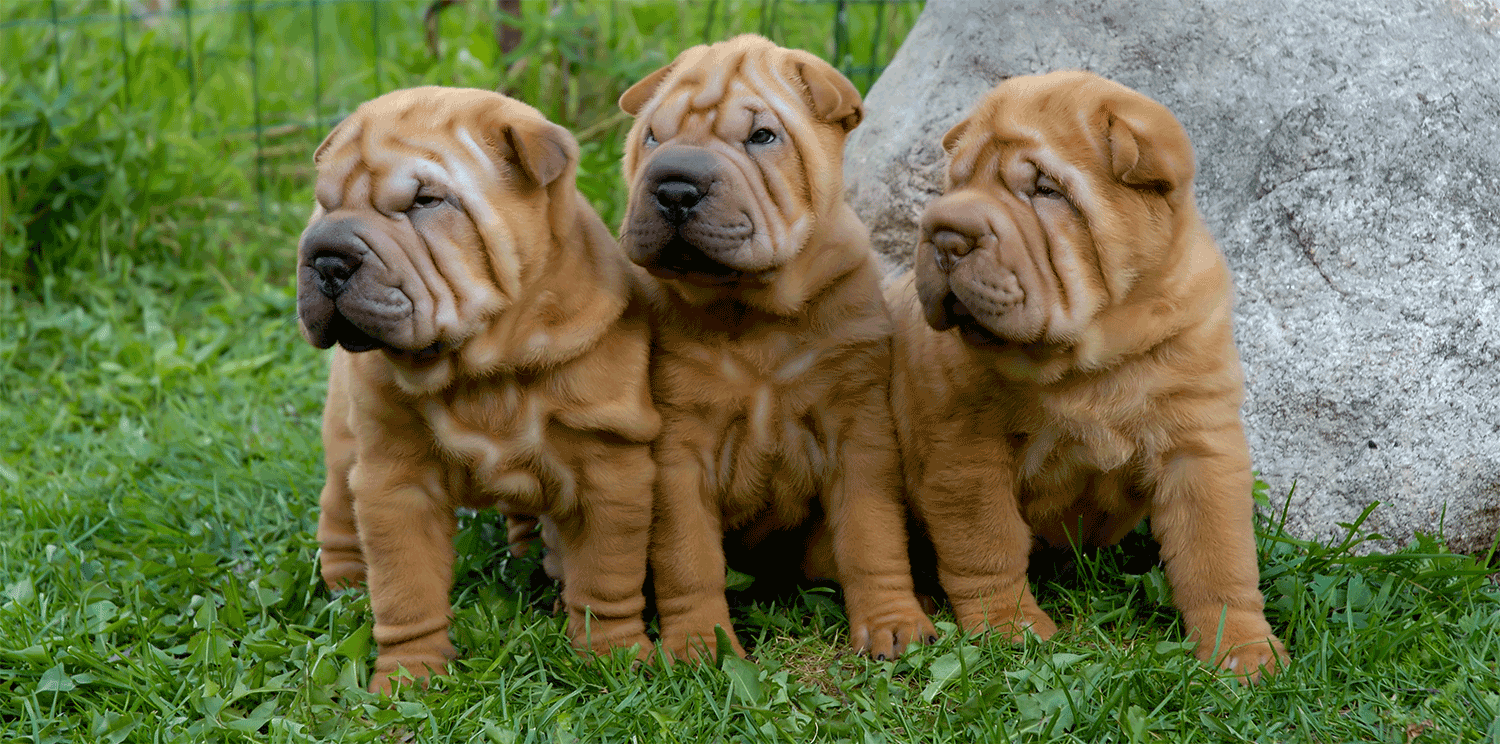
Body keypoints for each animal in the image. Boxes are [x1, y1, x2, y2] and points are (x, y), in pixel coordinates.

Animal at [295, 85, 660, 693]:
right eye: (324, 204)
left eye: (426, 201)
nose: (325, 257)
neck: (482, 366)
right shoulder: (396, 482)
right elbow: (405, 590)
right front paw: (408, 679)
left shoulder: (611, 470)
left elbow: (606, 578)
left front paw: (613, 658)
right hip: (344, 441)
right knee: (338, 510)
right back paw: (345, 590)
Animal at [615, 36, 930, 663]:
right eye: (653, 137)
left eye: (762, 136)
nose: (675, 186)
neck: (751, 311)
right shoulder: (678, 453)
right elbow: (688, 557)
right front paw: (699, 644)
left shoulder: (860, 433)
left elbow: (872, 536)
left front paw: (893, 623)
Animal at [888, 72, 1290, 684]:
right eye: (954, 185)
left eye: (1046, 191)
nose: (944, 234)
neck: (1087, 361)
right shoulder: (967, 452)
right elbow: (987, 545)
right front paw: (1008, 630)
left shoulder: (1198, 443)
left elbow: (1217, 556)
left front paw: (1242, 650)